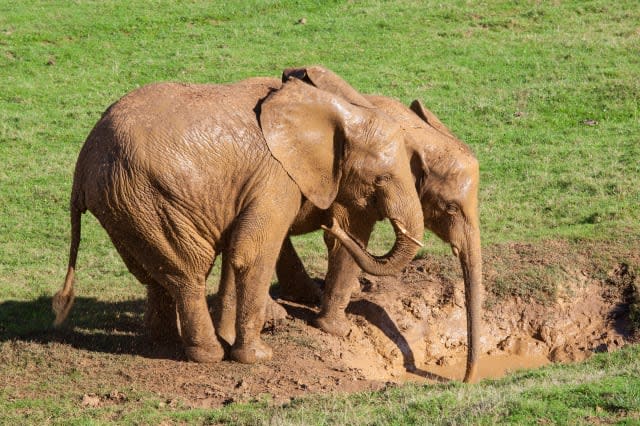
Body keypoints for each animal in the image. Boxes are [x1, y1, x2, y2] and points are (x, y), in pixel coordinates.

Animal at [52, 75, 424, 364]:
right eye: (381, 179)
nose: (331, 224)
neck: (331, 108)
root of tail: (83, 164)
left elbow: (236, 251)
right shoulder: (277, 177)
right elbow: (251, 253)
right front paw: (257, 358)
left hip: (127, 207)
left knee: (156, 272)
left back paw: (166, 344)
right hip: (144, 197)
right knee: (188, 273)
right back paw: (209, 355)